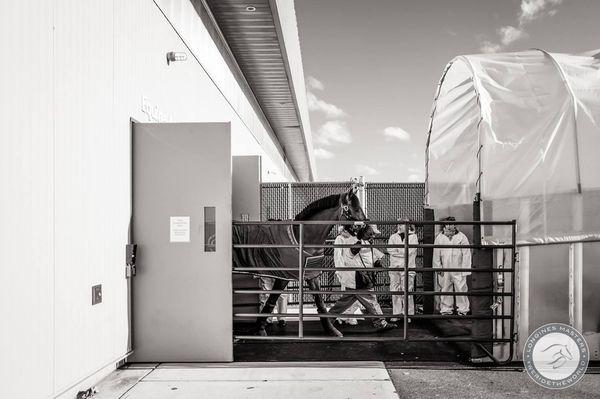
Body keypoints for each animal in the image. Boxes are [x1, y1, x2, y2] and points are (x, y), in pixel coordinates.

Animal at [233, 188, 366, 338]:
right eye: (353, 209)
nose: (368, 230)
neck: (302, 236)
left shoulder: (311, 274)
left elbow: (320, 302)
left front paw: (331, 330)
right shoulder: (283, 276)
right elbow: (271, 300)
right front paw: (260, 329)